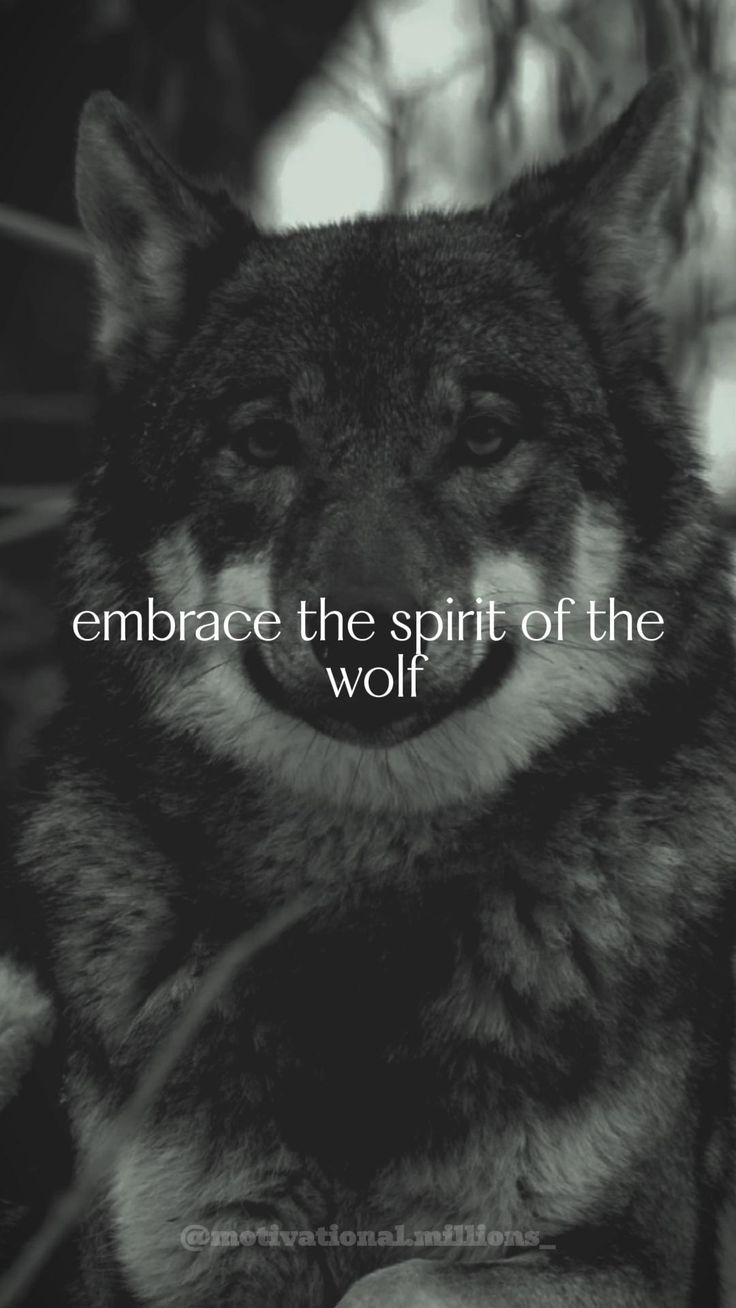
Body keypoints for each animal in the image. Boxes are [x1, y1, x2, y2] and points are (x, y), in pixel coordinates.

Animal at [2, 71, 736, 1307]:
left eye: (484, 434)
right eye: (262, 440)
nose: (366, 627)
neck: (365, 900)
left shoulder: (634, 1259)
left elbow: (389, 1280)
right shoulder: (164, 1259)